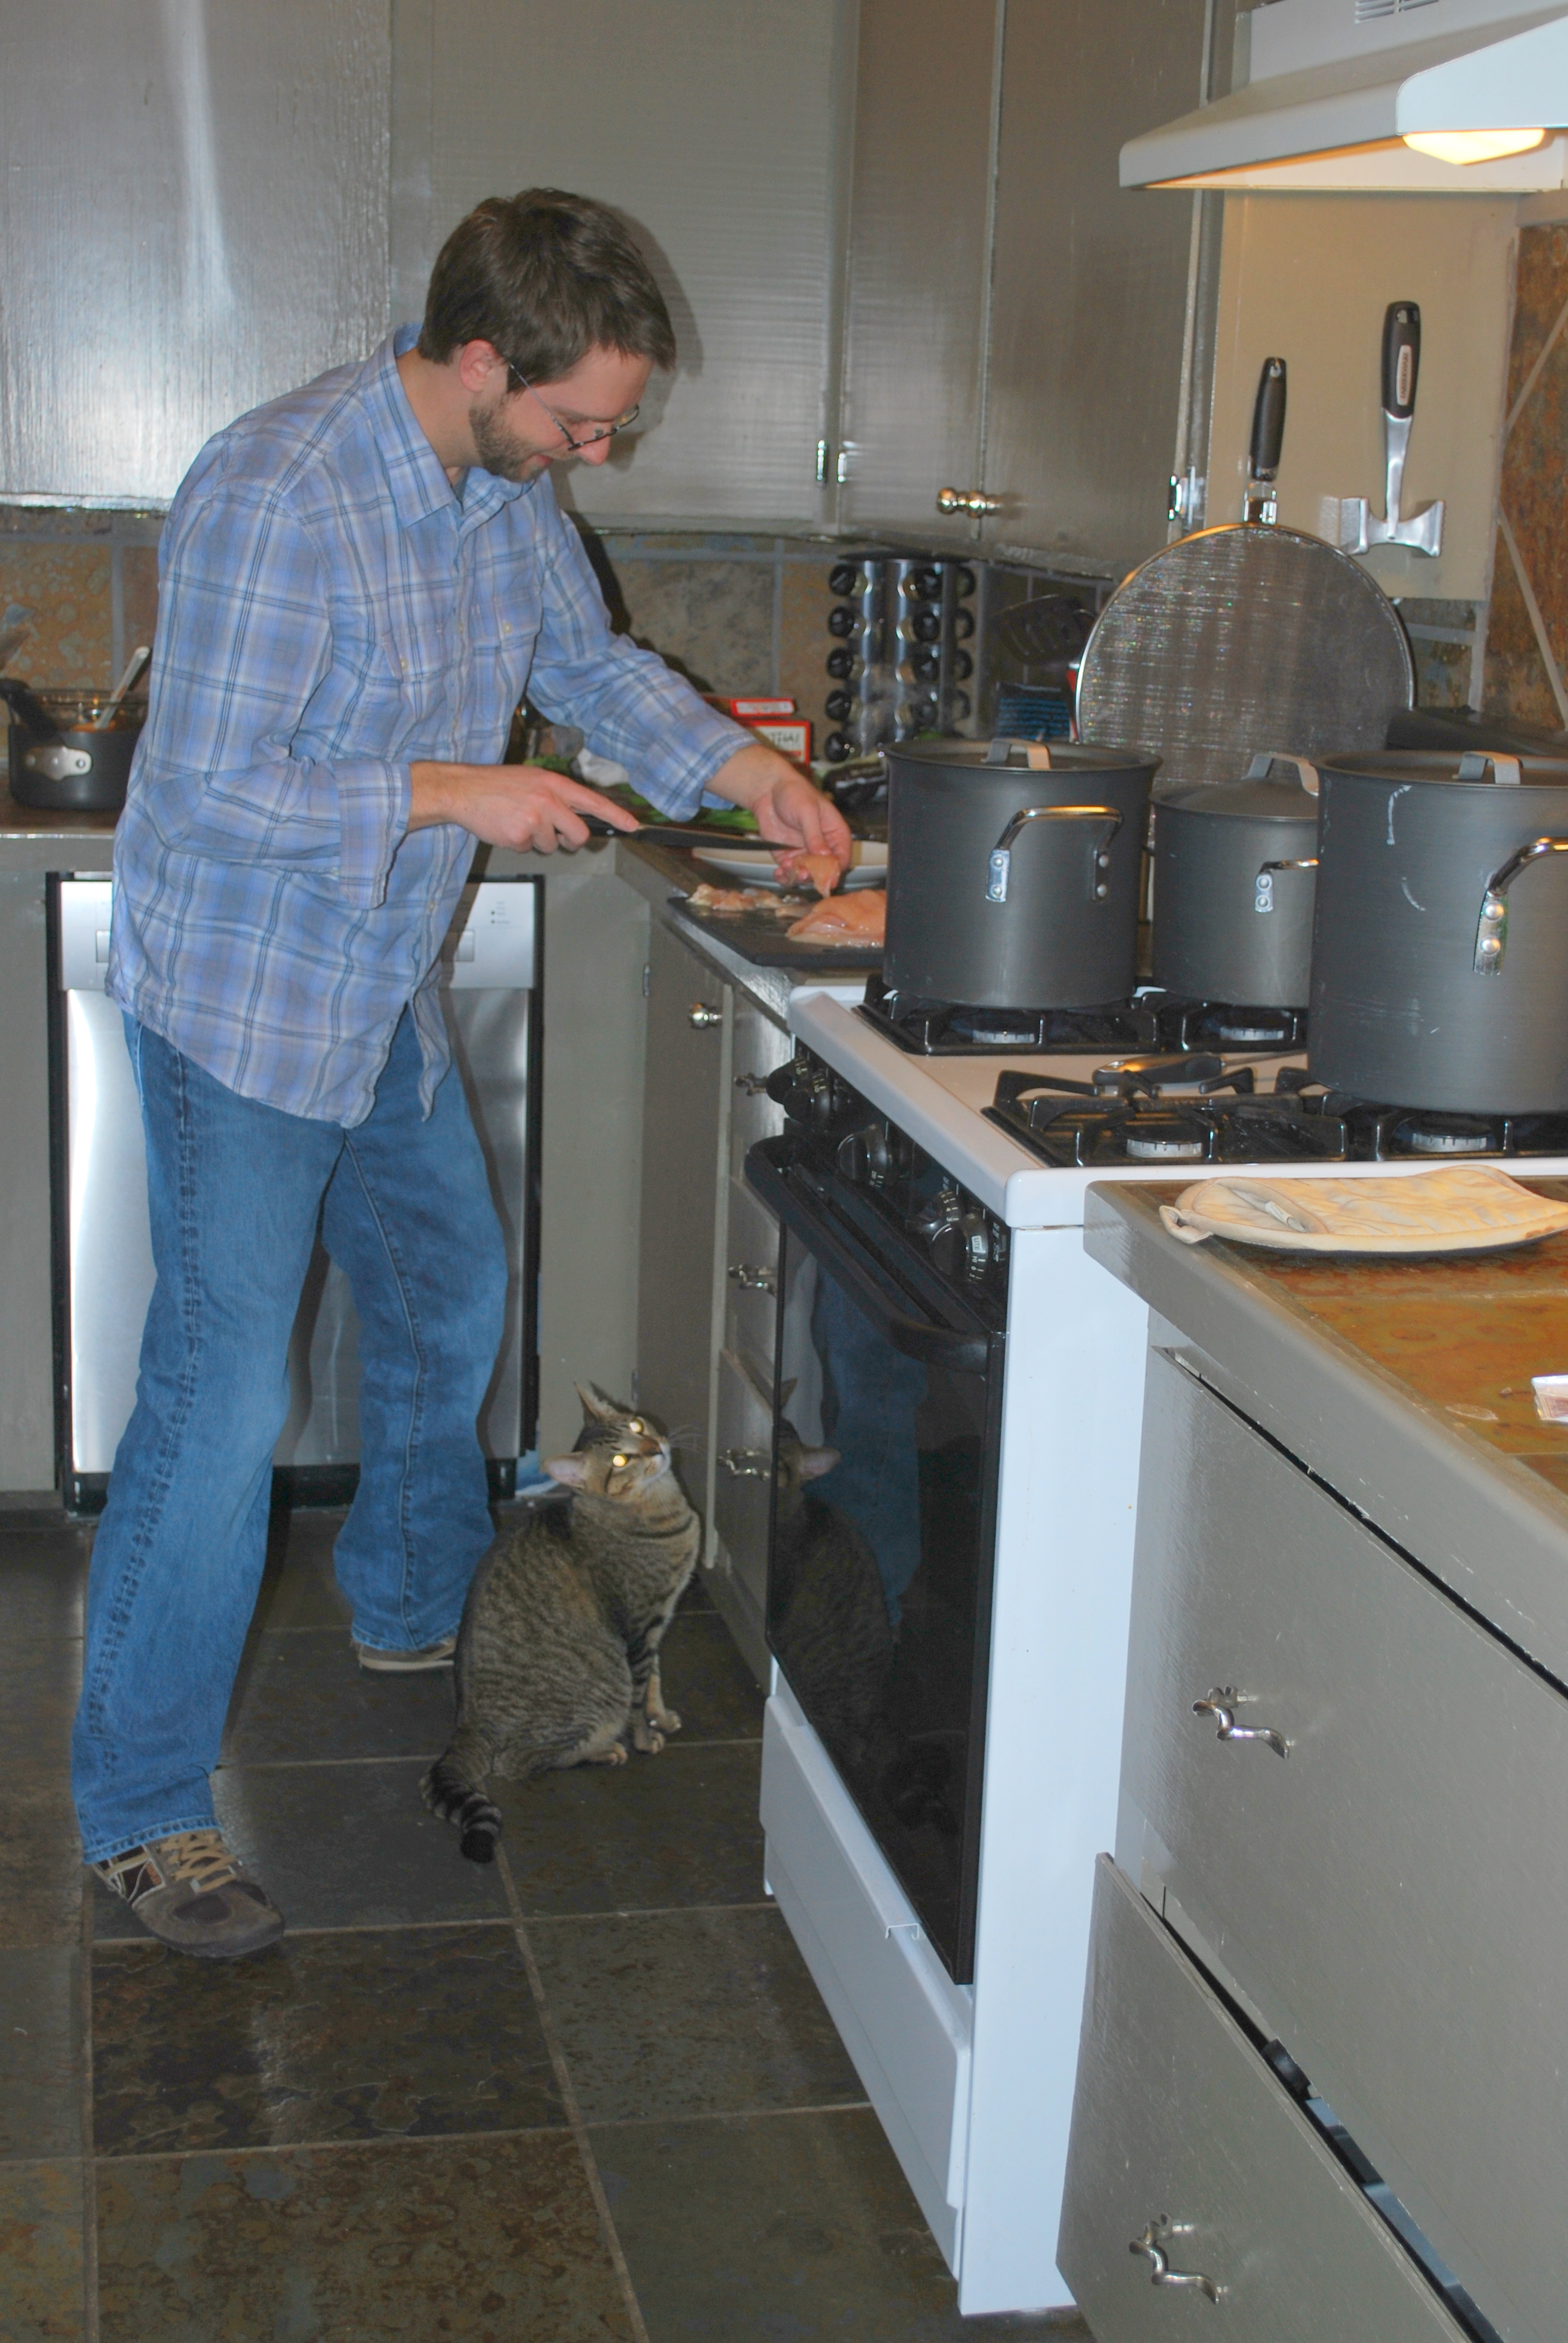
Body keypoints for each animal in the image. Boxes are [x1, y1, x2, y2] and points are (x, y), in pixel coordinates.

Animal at [422, 1385, 702, 1863]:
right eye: (620, 1461)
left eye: (638, 1425)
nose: (656, 1449)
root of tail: (465, 1724)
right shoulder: (639, 1626)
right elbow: (640, 1693)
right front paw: (645, 1738)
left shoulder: (659, 1621)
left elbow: (655, 1683)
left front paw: (661, 1717)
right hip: (596, 1697)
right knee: (518, 1764)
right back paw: (602, 1752)